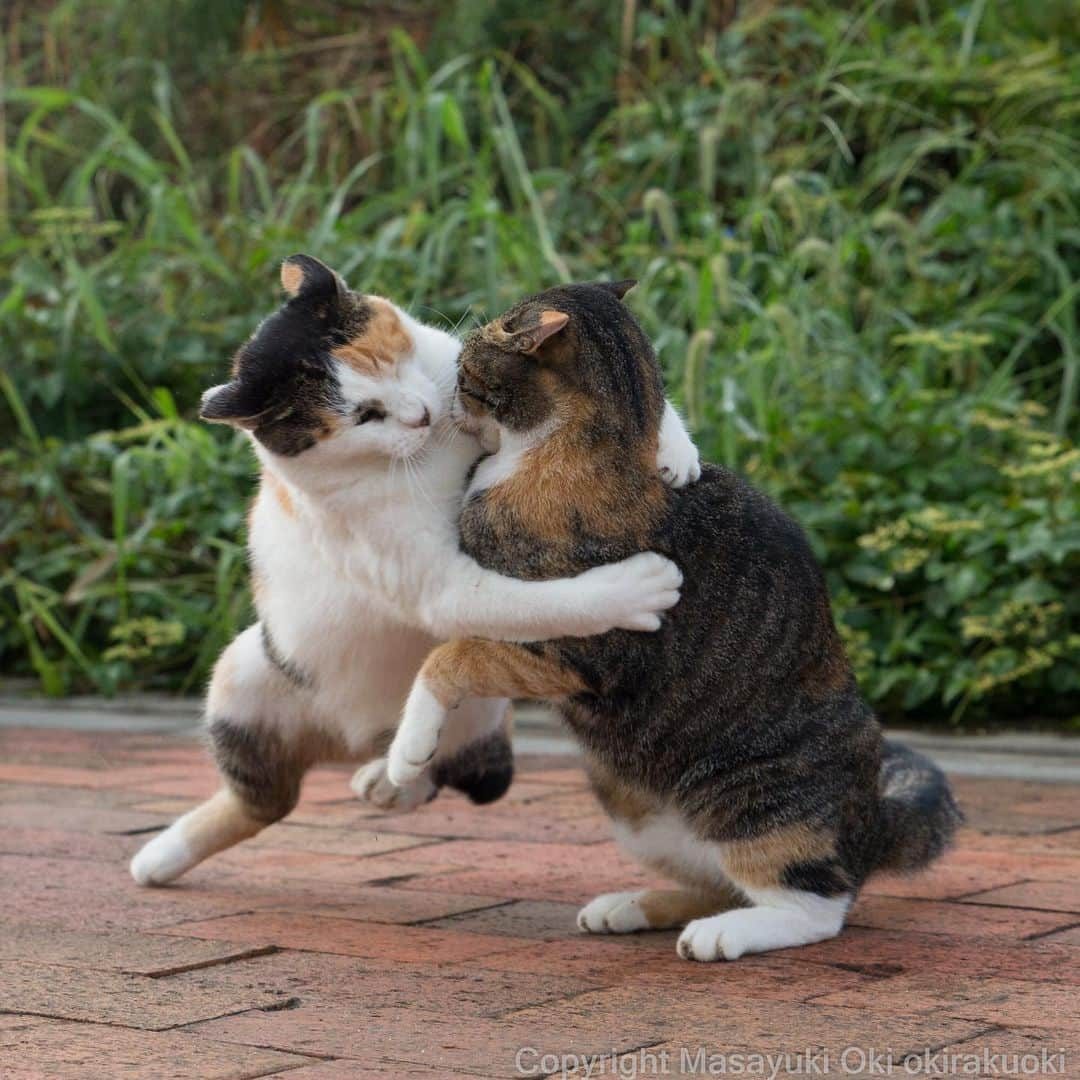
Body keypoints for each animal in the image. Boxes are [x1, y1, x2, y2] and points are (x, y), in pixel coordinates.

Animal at [130, 259, 695, 885]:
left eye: (394, 359)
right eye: (362, 416)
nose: (420, 414)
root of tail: (353, 740)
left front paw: (676, 452)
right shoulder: (440, 585)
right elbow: (538, 601)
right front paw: (638, 587)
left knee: (425, 769)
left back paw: (386, 781)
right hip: (241, 677)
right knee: (263, 803)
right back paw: (158, 859)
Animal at [386, 280, 963, 963]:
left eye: (469, 368)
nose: (447, 384)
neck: (570, 447)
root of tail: (872, 821)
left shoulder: (570, 651)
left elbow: (449, 658)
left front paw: (407, 755)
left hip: (755, 802)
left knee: (817, 902)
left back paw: (722, 934)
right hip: (633, 812)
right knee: (719, 882)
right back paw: (630, 906)